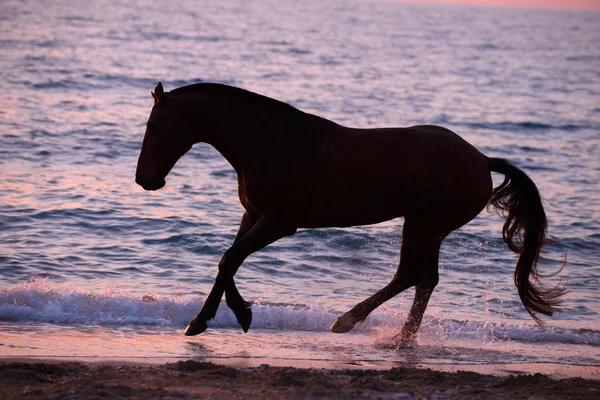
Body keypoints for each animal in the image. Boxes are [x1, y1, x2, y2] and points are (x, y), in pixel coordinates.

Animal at [134, 82, 564, 344]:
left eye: (155, 125)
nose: (144, 180)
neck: (269, 142)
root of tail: (481, 160)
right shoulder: (252, 216)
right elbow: (229, 261)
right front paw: (216, 318)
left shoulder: (279, 222)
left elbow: (230, 258)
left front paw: (224, 317)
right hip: (431, 229)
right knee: (425, 280)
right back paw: (402, 339)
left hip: (423, 225)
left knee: (411, 275)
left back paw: (349, 321)